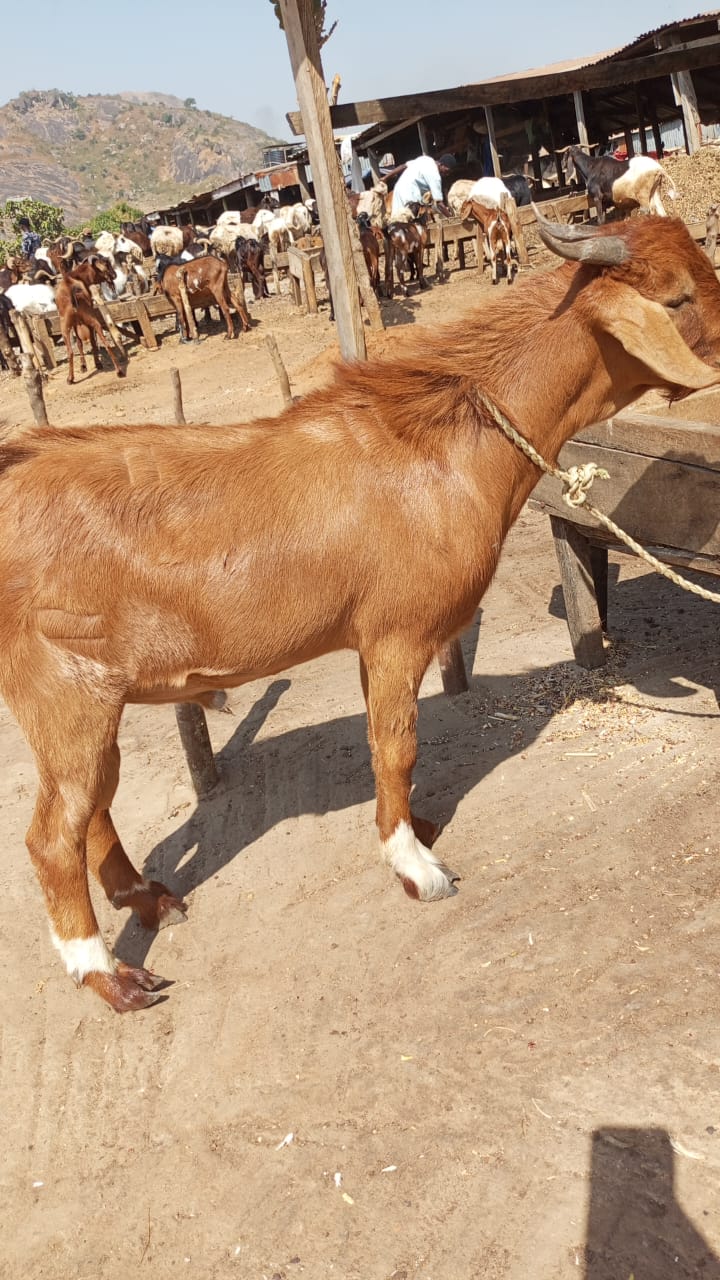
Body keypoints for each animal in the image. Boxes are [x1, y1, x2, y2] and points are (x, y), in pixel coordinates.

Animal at [54, 255, 127, 385]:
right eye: (106, 264)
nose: (114, 275)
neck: (75, 277)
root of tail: (72, 291)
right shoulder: (77, 323)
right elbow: (82, 342)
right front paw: (85, 365)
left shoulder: (77, 323)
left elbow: (82, 342)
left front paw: (86, 365)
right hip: (86, 321)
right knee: (104, 344)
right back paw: (119, 371)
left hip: (70, 324)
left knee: (74, 350)